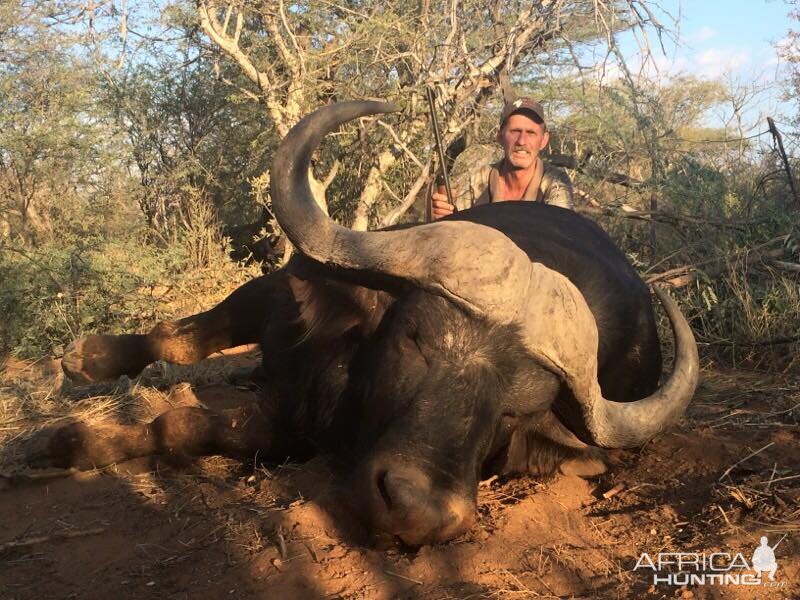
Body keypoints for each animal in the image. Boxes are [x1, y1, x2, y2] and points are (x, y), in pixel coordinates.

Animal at [28, 101, 696, 548]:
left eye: (515, 411)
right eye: (415, 342)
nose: (418, 514)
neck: (346, 373)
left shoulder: (290, 432)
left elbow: (183, 427)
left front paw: (78, 441)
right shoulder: (280, 294)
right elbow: (181, 335)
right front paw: (87, 366)